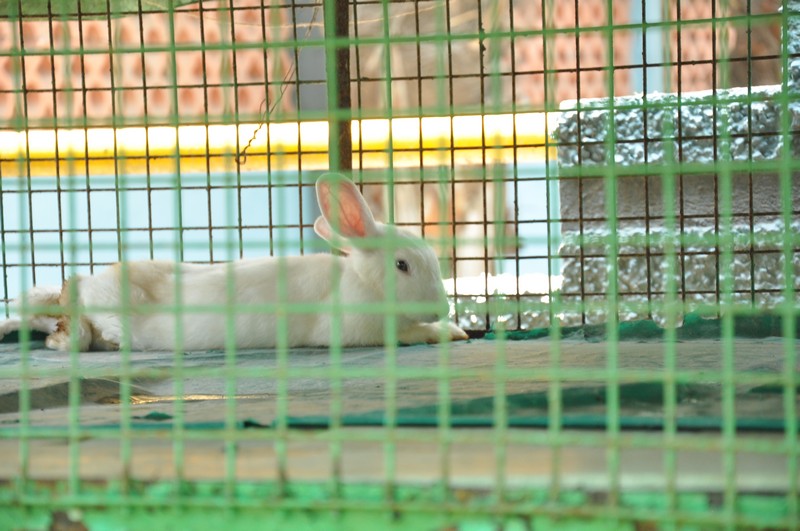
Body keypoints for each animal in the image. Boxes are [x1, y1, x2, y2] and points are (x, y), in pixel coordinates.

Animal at [0, 174, 469, 351]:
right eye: (402, 266)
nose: (440, 307)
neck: (361, 283)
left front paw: (453, 327)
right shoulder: (358, 331)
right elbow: (408, 334)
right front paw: (448, 331)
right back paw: (64, 336)